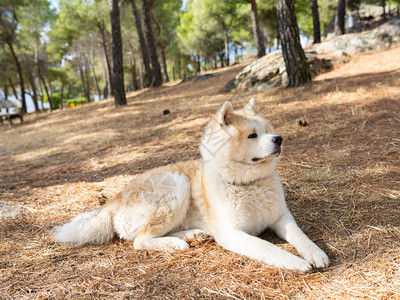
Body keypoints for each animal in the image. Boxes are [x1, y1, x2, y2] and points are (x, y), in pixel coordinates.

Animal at [55, 99, 328, 274]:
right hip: (176, 186)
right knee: (141, 240)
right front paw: (295, 262)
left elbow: (300, 235)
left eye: (269, 131)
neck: (248, 184)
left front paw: (315, 253)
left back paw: (192, 235)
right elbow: (268, 248)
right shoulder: (232, 234)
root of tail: (114, 199)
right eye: (252, 135)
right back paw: (176, 243)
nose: (279, 139)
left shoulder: (281, 217)